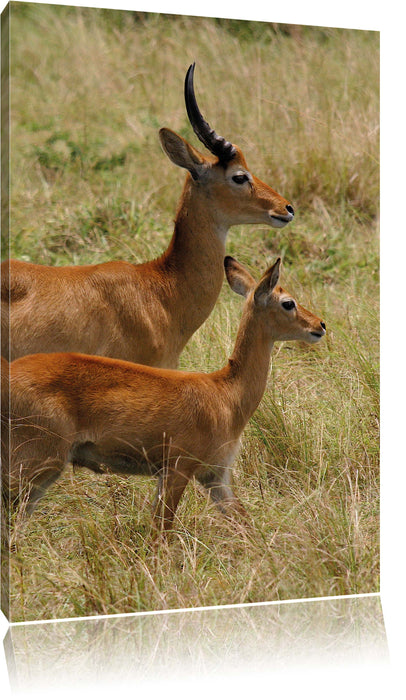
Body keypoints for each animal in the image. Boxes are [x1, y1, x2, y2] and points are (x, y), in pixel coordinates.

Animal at [1, 258, 326, 532]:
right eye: (288, 302)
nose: (319, 325)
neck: (226, 394)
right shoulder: (178, 470)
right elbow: (161, 532)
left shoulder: (216, 475)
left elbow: (244, 523)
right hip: (35, 462)